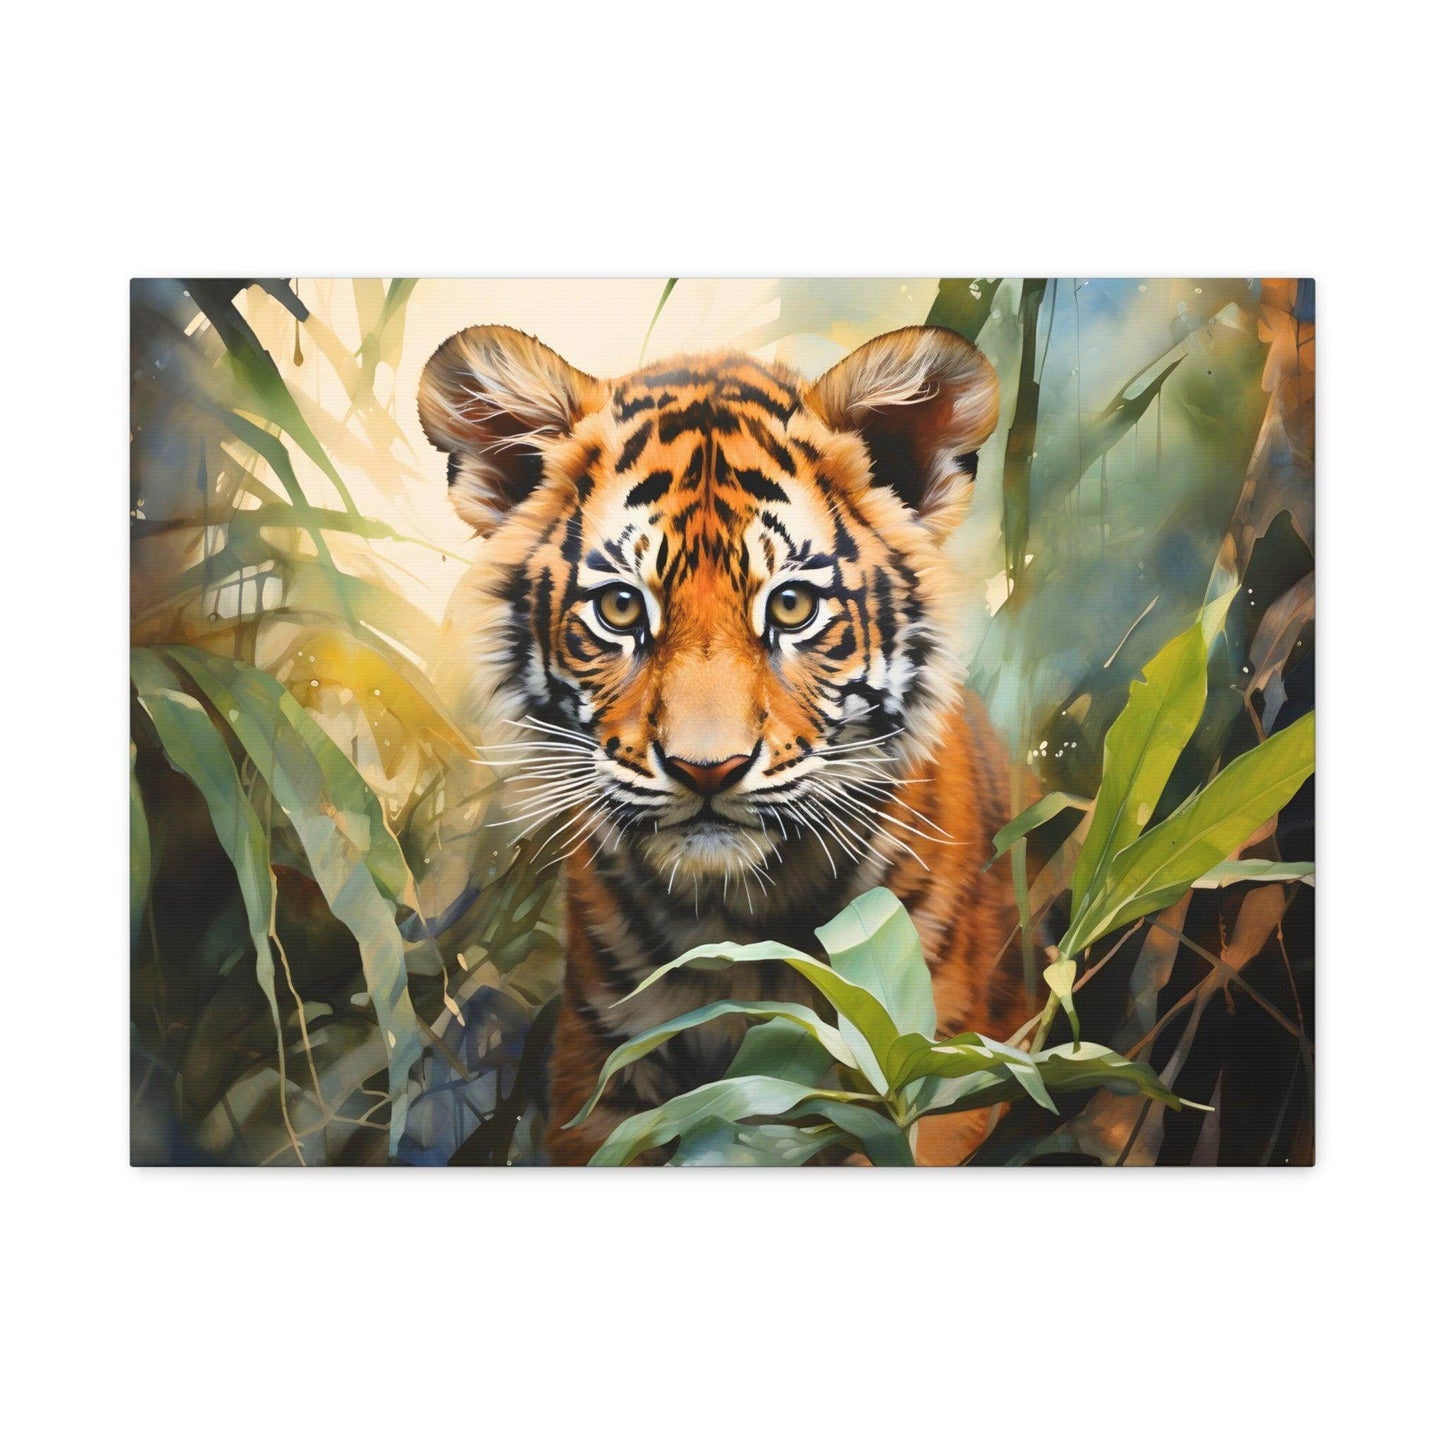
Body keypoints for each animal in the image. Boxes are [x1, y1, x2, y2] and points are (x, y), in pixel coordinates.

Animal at [419, 322, 1033, 1165]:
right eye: (619, 607)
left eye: (793, 605)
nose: (705, 769)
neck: (740, 922)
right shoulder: (599, 1076)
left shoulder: (940, 1071)